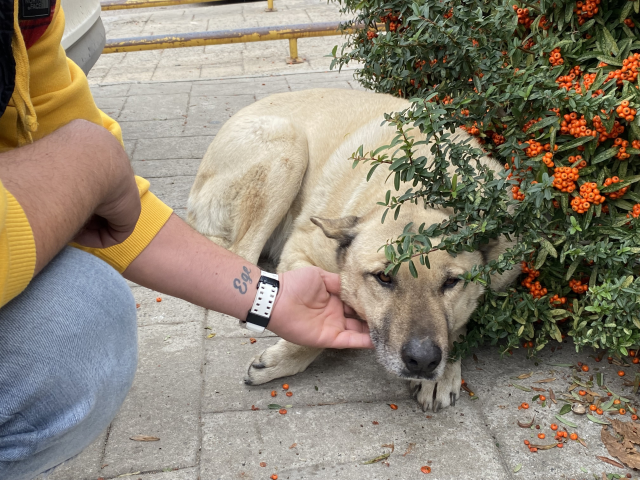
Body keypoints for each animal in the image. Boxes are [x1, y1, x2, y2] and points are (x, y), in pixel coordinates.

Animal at [186, 89, 520, 412]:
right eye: (383, 277)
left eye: (451, 282)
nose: (423, 362)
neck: (420, 187)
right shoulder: (301, 249)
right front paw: (285, 358)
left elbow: (459, 323)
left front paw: (444, 373)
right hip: (289, 146)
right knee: (243, 254)